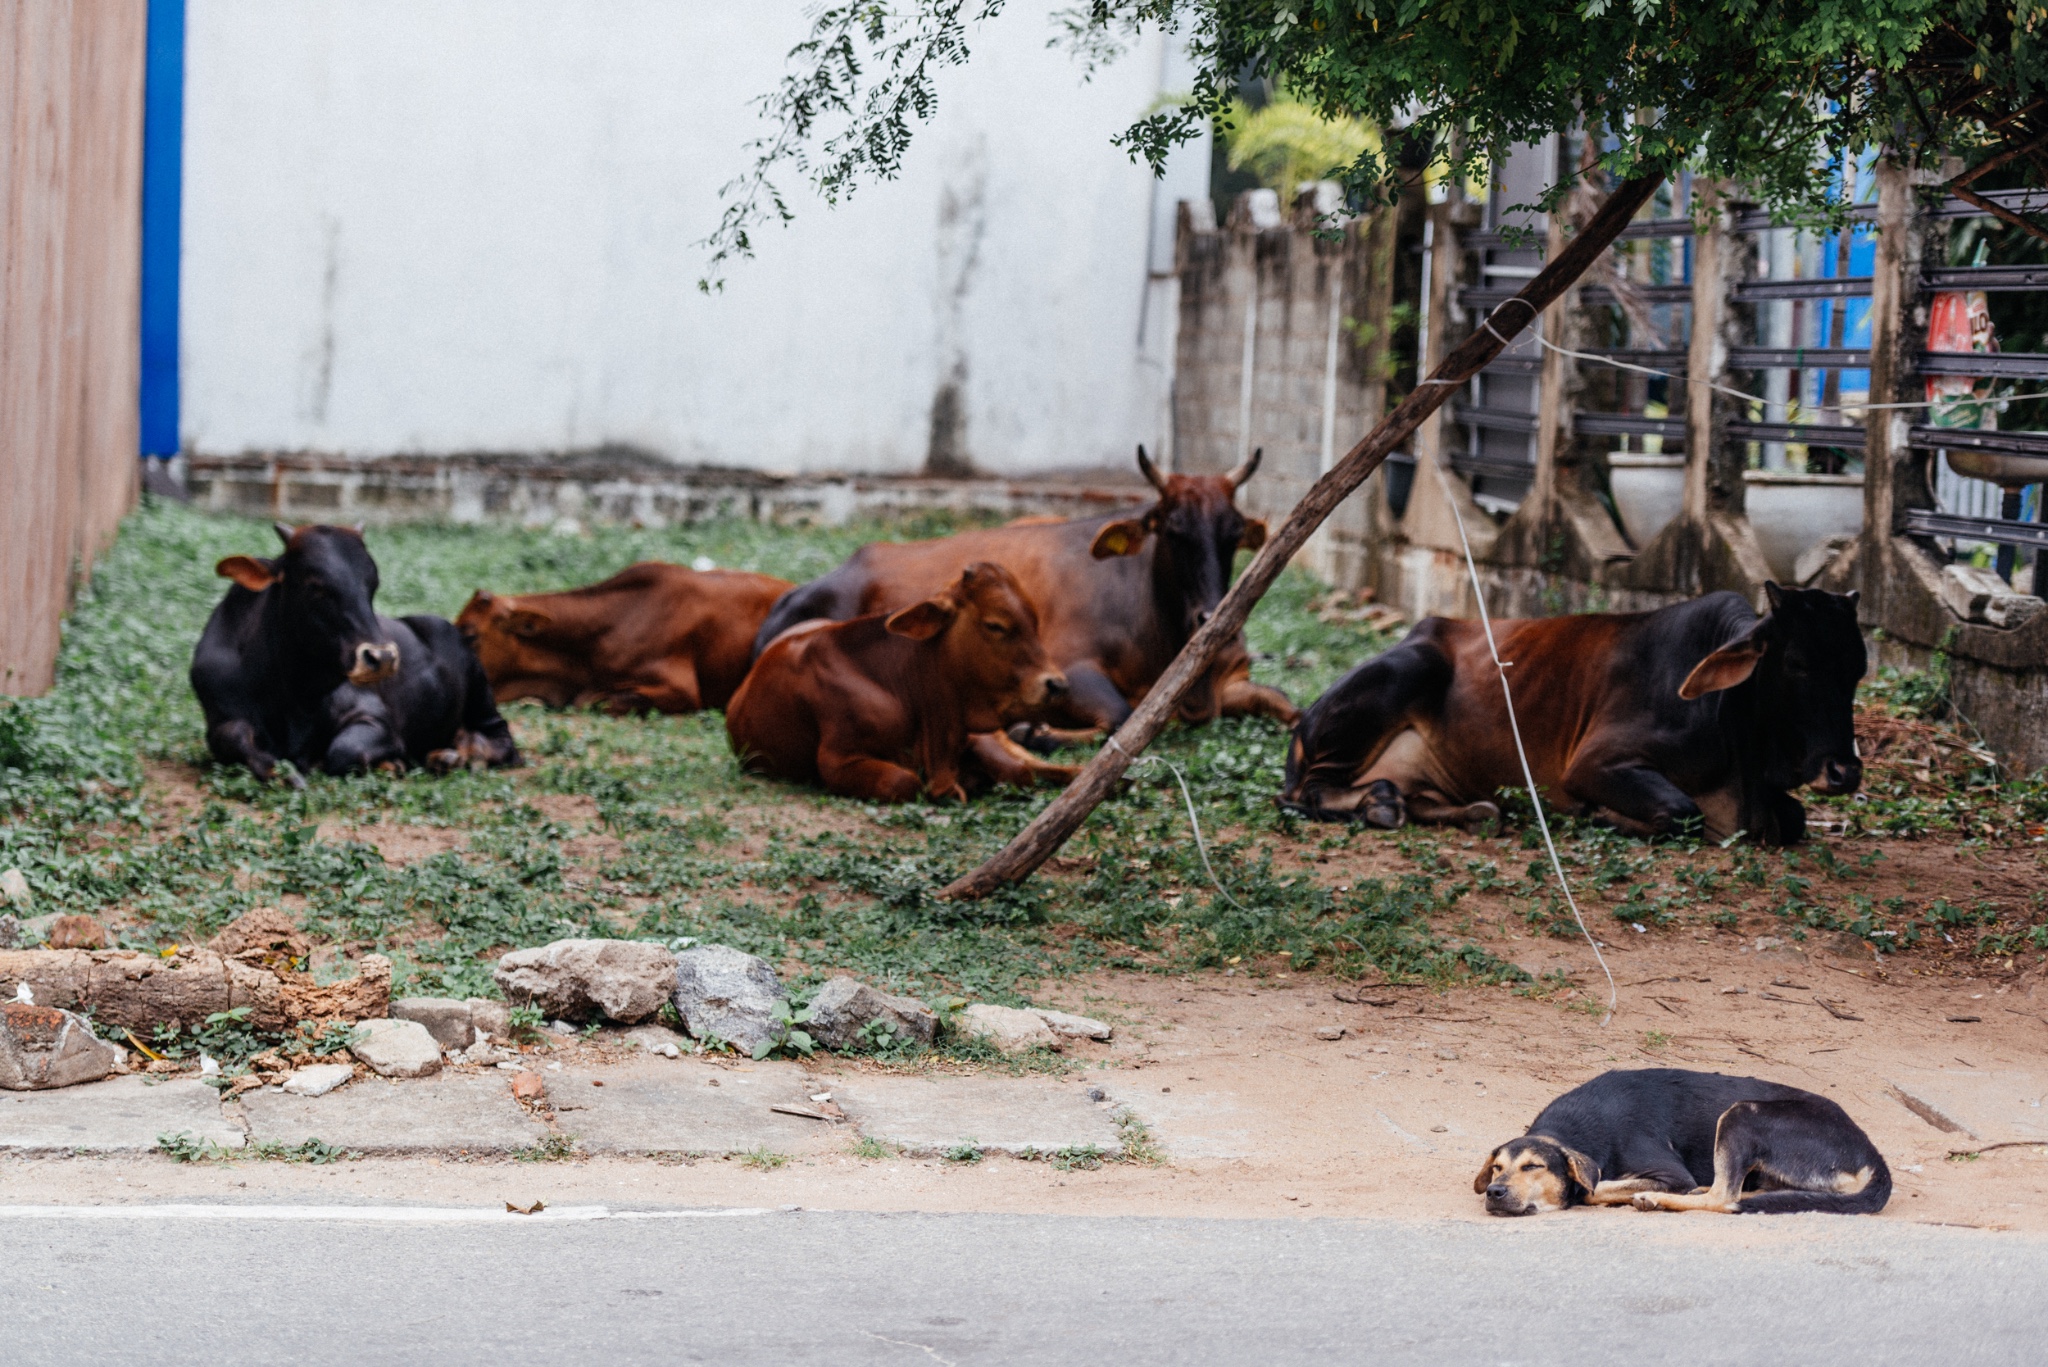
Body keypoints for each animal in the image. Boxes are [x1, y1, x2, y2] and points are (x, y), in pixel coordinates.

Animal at [190, 520, 520, 786]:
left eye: (372, 584)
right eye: (316, 586)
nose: (382, 658)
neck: (291, 696)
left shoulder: (375, 720)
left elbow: (342, 751)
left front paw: (390, 763)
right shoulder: (219, 717)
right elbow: (235, 735)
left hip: (481, 695)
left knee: (504, 740)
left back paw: (462, 754)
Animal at [753, 448, 1294, 733]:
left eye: (1233, 535)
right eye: (1174, 530)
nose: (1216, 620)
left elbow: (1286, 703)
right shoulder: (1072, 667)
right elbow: (1118, 717)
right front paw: (1033, 732)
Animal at [1286, 586, 1867, 844]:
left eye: (1859, 668)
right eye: (1796, 664)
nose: (1844, 771)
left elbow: (1794, 819)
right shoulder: (1594, 765)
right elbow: (1682, 811)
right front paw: (1598, 815)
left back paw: (1468, 811)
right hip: (1403, 674)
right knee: (1306, 793)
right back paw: (1379, 804)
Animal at [1474, 1065, 1884, 1221]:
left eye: (1533, 1166)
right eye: (1497, 1168)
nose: (1493, 1192)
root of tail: (1870, 1151)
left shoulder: (1671, 1173)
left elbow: (1593, 1188)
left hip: (1741, 1113)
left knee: (1724, 1197)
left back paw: (1657, 1199)